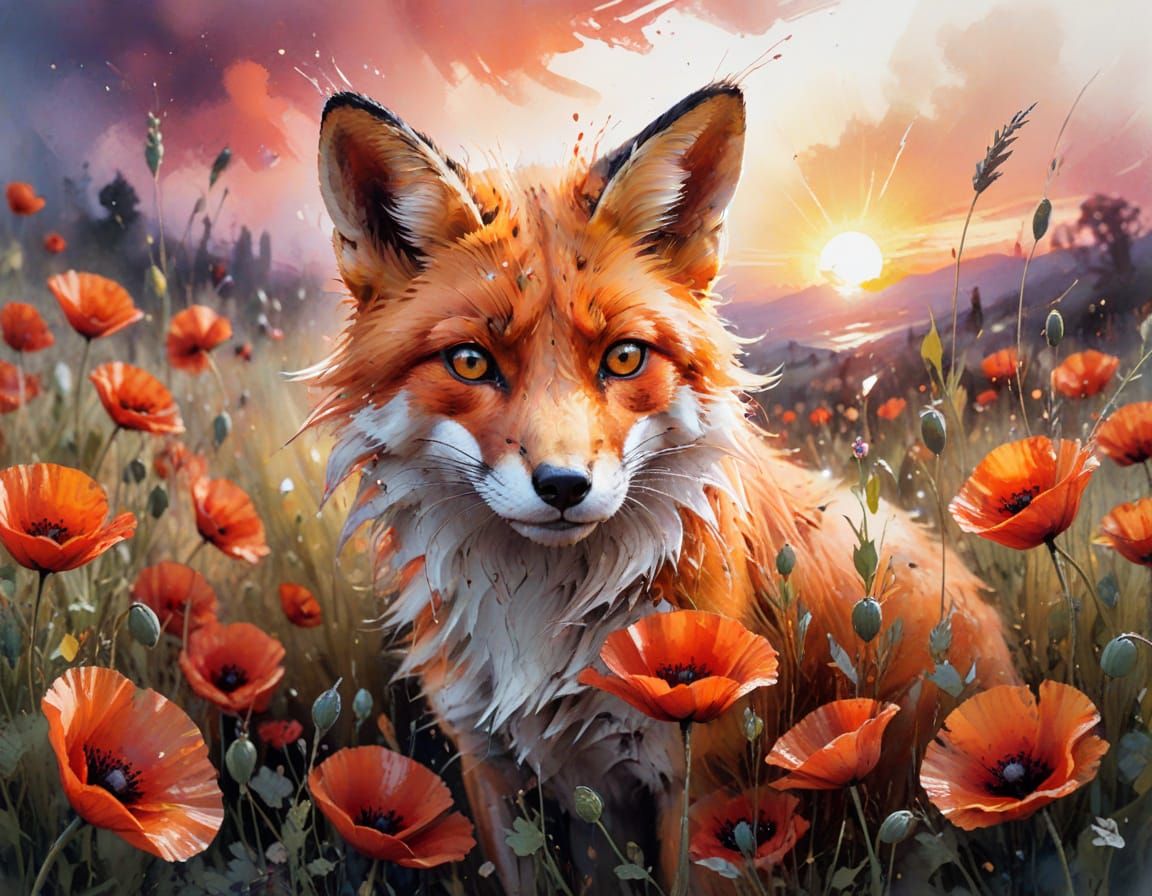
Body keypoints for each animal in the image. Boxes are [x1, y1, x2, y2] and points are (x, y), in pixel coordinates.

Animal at [304, 83, 1015, 894]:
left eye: (623, 357)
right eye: (471, 362)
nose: (563, 485)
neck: (543, 621)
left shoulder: (703, 779)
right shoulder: (495, 769)